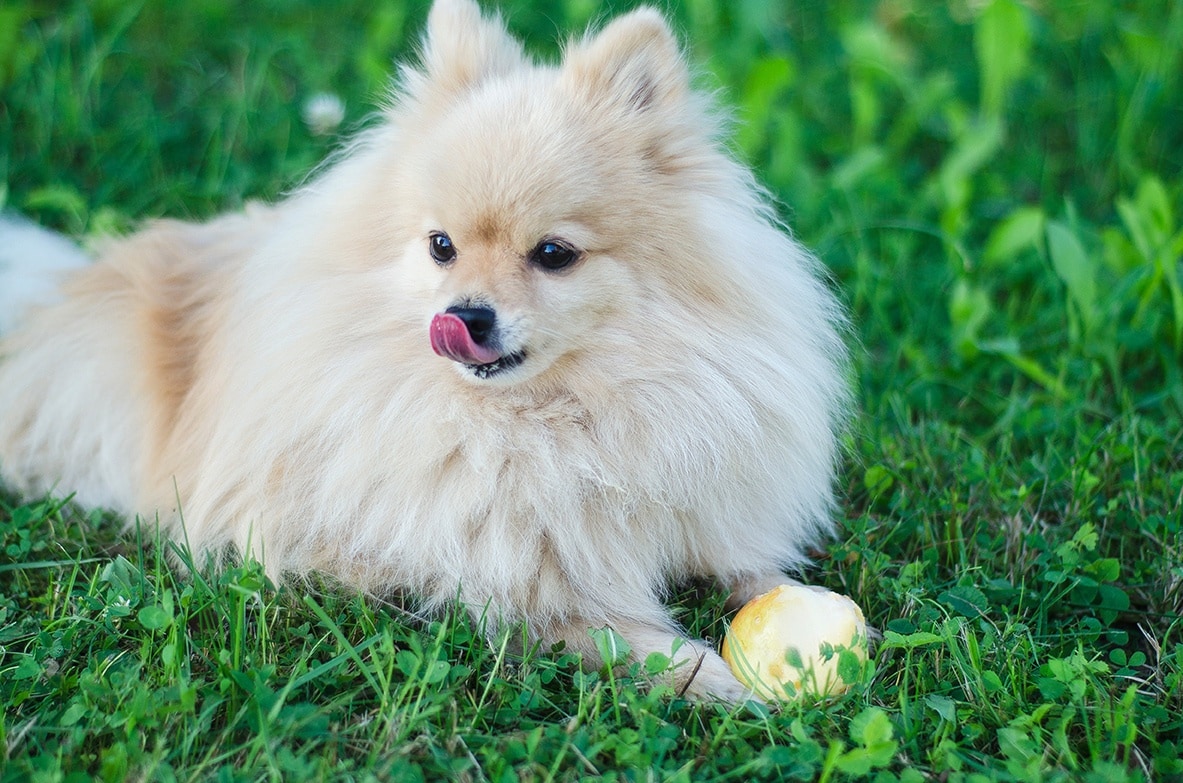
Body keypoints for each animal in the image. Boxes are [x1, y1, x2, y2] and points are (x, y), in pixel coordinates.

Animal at [0, 0, 851, 700]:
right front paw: (711, 675)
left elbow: (750, 567)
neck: (555, 421)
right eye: (441, 246)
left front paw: (801, 611)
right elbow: (607, 631)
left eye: (553, 254)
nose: (462, 314)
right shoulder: (517, 582)